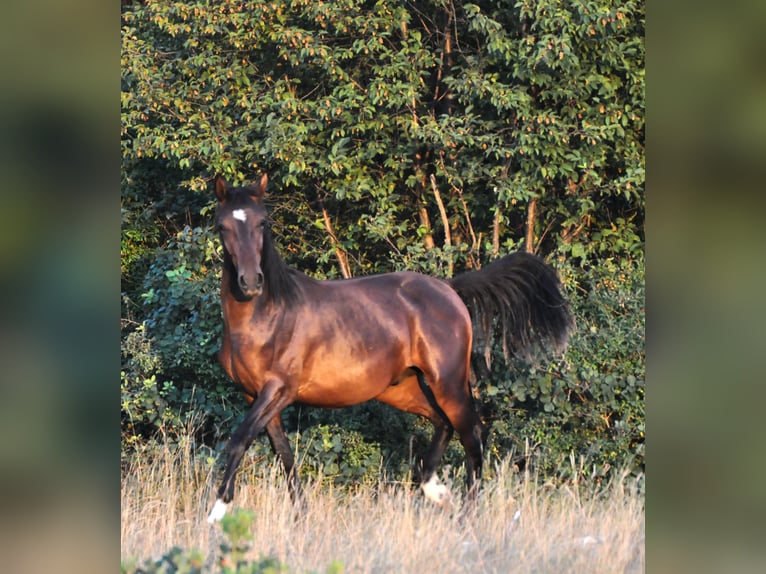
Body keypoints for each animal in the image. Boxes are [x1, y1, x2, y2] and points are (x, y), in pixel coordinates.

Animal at [207, 174, 572, 520]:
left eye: (263, 223)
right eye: (222, 226)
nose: (250, 282)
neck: (268, 316)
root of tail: (449, 289)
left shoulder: (279, 389)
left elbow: (239, 441)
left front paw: (216, 513)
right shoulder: (256, 395)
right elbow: (283, 455)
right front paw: (300, 518)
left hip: (448, 383)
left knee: (472, 436)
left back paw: (466, 517)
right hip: (401, 388)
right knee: (443, 424)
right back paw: (436, 491)